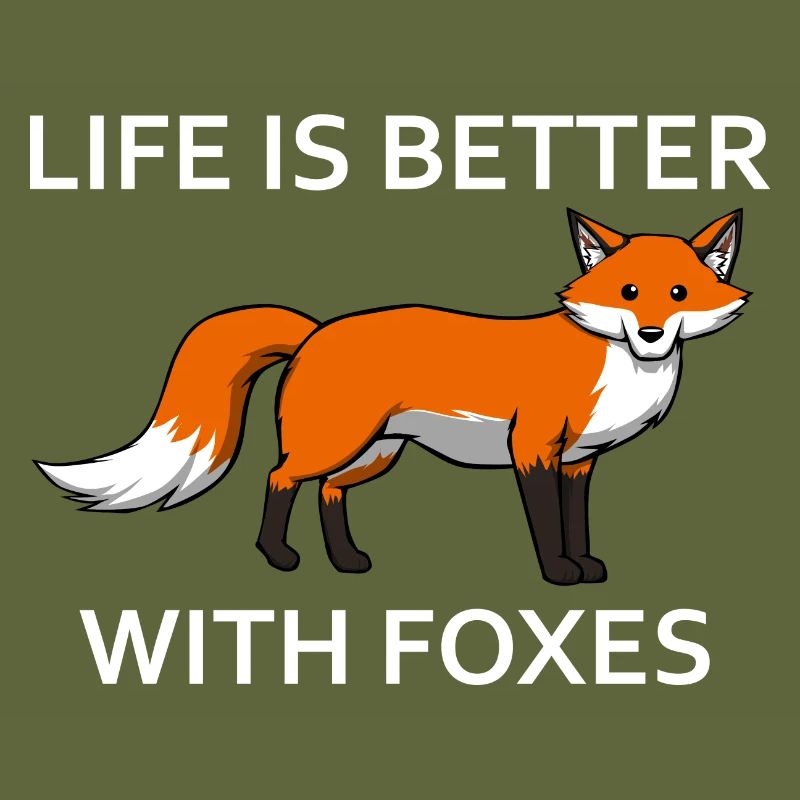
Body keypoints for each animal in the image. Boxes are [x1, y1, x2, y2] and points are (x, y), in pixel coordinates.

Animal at [36, 209, 749, 585]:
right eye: (628, 292)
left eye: (678, 294)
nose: (651, 334)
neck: (618, 368)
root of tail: (316, 330)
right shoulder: (533, 449)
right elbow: (547, 524)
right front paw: (557, 573)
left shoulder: (579, 462)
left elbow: (577, 520)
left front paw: (585, 564)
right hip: (335, 442)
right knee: (280, 478)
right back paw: (279, 558)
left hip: (375, 454)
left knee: (327, 493)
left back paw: (346, 560)